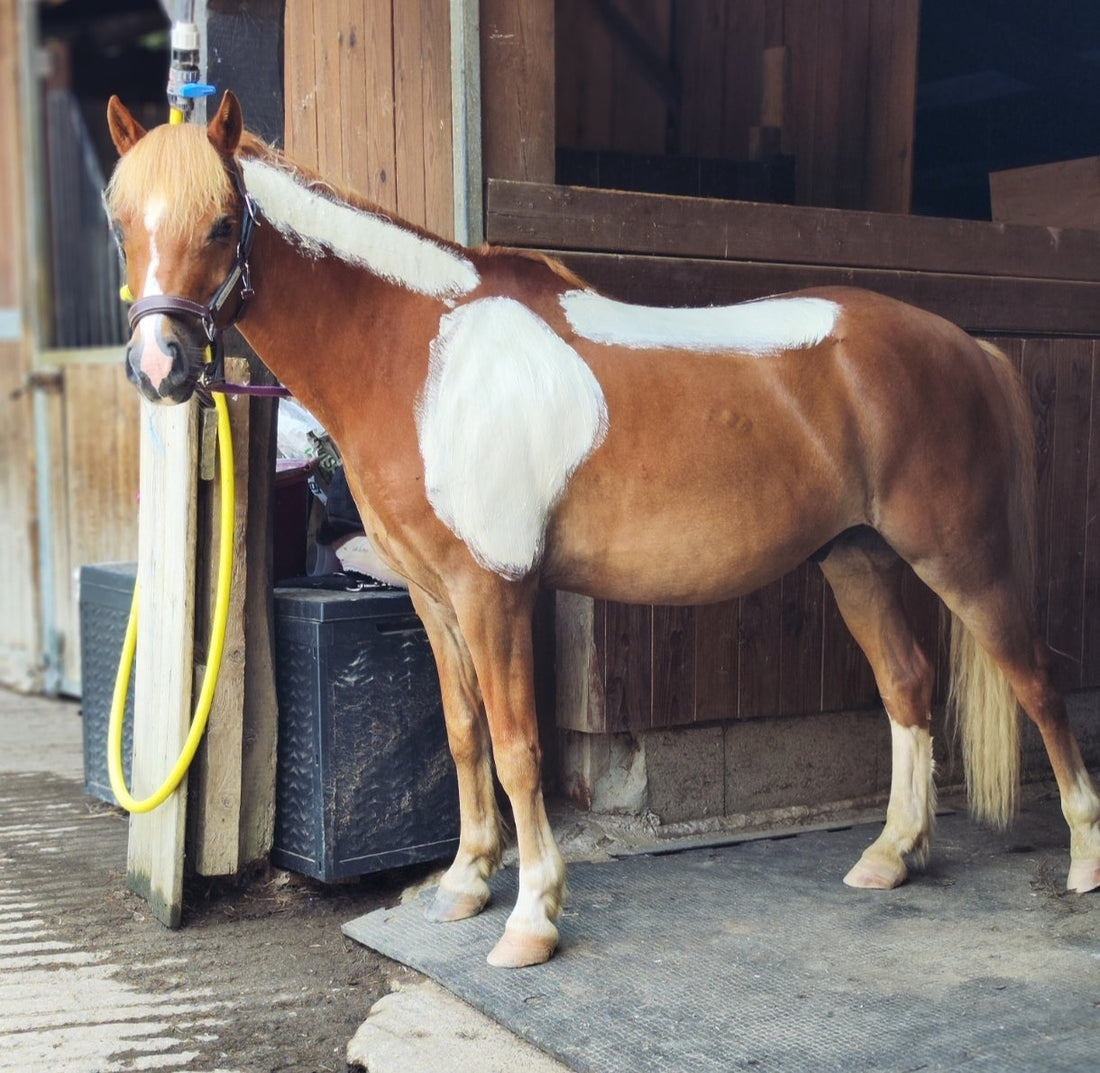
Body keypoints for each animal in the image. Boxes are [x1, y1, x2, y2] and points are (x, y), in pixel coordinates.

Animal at [104, 91, 1100, 968]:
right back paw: (893, 854)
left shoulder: (495, 590)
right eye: (120, 222)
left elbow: (517, 747)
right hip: (855, 558)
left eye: (222, 223)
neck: (423, 353)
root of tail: (967, 346)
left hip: (963, 557)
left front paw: (531, 919)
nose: (160, 366)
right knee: (907, 683)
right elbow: (462, 733)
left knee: (1038, 681)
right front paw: (466, 883)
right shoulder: (433, 596)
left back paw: (1084, 860)